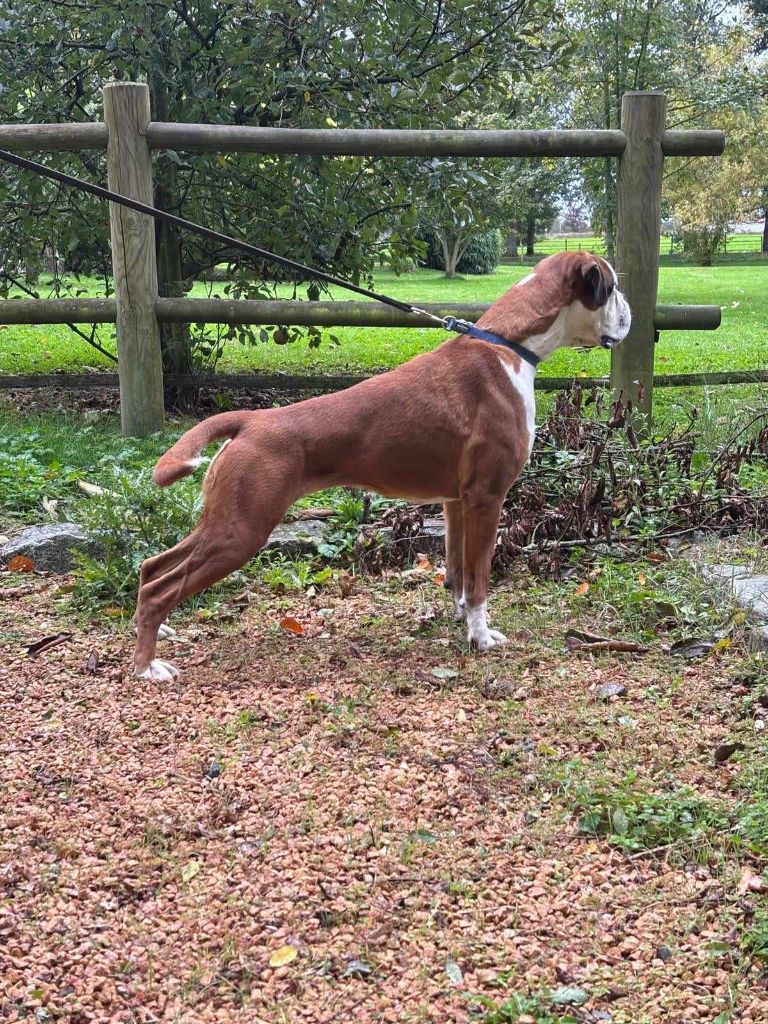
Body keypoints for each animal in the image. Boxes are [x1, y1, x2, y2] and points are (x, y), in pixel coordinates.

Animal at [134, 250, 630, 679]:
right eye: (612, 289)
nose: (629, 312)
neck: (509, 347)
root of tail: (251, 420)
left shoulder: (456, 504)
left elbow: (458, 574)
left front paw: (460, 620)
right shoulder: (487, 500)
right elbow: (480, 580)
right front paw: (481, 637)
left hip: (223, 523)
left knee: (152, 569)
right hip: (241, 531)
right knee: (161, 586)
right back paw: (147, 666)